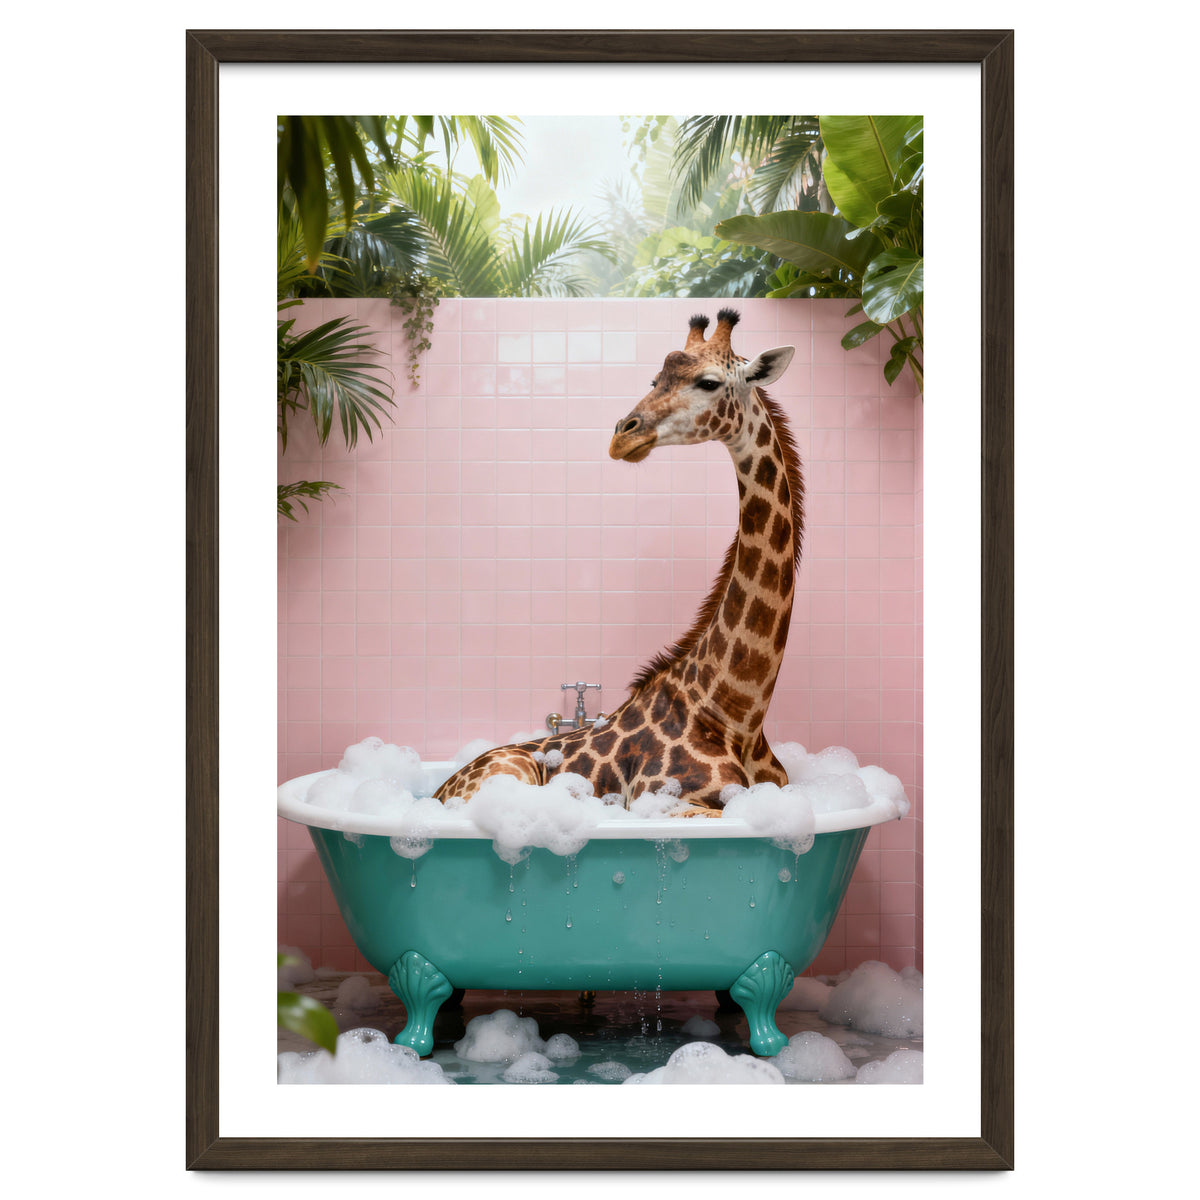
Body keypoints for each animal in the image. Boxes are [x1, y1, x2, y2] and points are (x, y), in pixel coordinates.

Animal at [434, 308, 801, 817]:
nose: (623, 435)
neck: (737, 714)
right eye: (654, 379)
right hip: (512, 773)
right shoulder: (662, 800)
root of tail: (437, 790)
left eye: (708, 382)